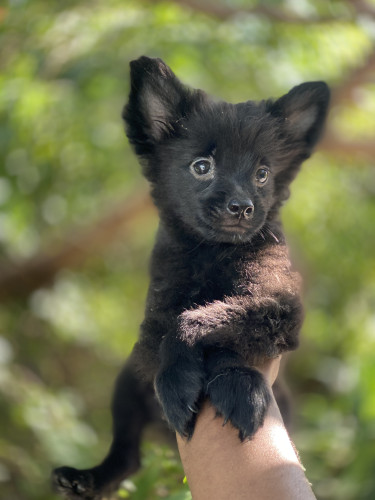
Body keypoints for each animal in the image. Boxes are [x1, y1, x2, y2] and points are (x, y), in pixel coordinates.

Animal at [52, 56, 328, 498]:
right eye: (202, 167)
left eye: (263, 174)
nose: (242, 207)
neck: (213, 252)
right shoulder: (158, 311)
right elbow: (176, 326)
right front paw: (178, 381)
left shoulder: (277, 304)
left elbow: (212, 320)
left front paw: (237, 386)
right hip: (126, 384)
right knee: (126, 454)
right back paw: (86, 478)